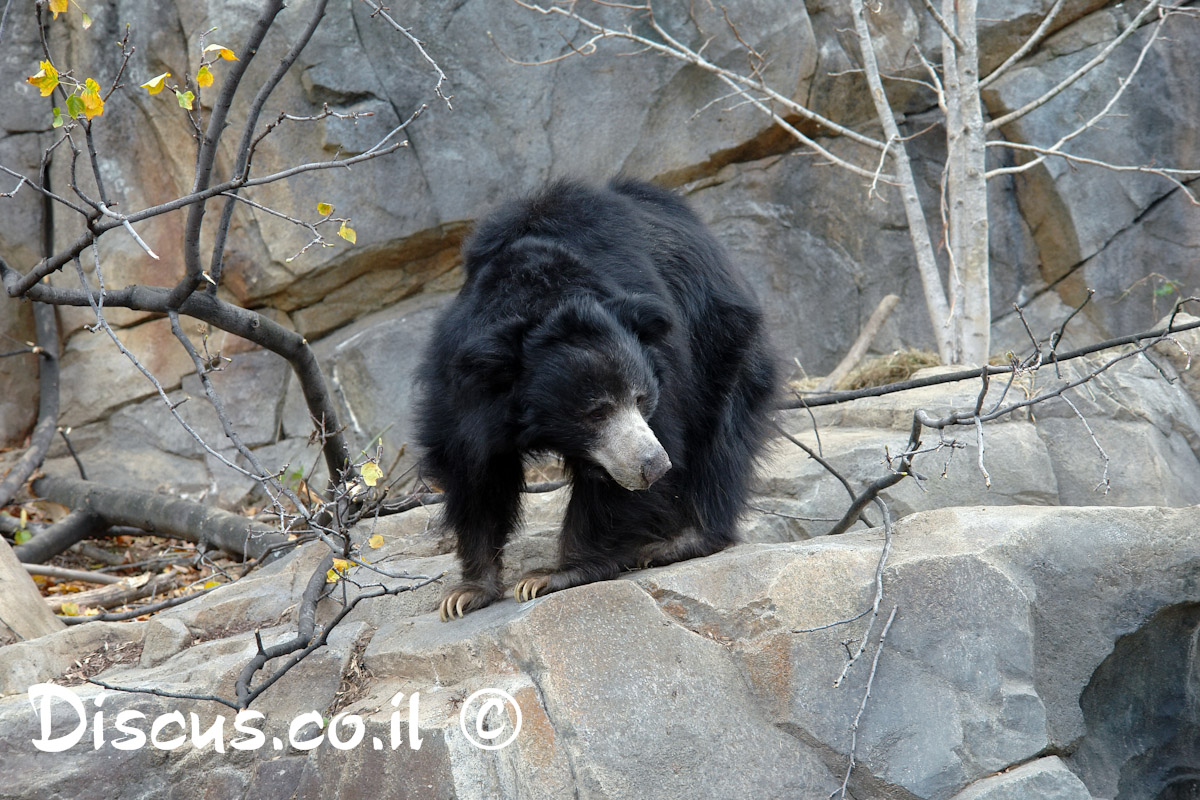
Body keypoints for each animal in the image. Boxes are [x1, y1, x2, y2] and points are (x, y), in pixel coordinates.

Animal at [417, 178, 782, 623]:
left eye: (641, 399)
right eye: (596, 412)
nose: (654, 466)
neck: (548, 295)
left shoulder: (667, 363)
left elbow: (621, 480)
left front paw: (550, 576)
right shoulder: (465, 387)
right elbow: (474, 468)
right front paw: (465, 594)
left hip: (723, 342)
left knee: (721, 440)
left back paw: (679, 541)